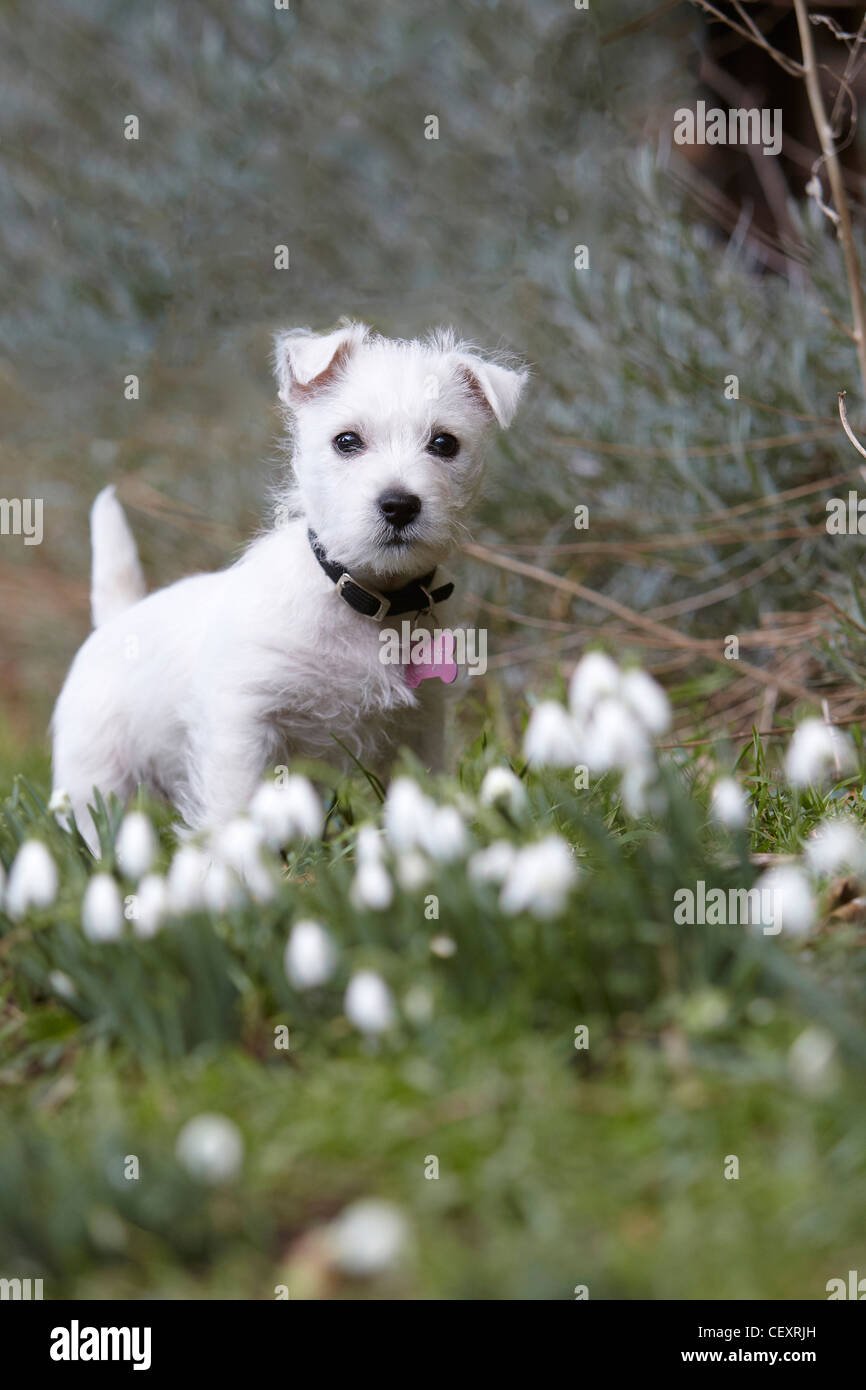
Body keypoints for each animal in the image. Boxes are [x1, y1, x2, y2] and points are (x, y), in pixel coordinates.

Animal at [54, 322, 528, 856]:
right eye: (347, 441)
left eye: (445, 443)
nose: (399, 505)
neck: (364, 597)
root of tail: (116, 620)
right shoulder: (242, 722)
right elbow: (232, 806)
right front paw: (231, 868)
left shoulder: (420, 726)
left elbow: (419, 787)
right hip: (95, 775)